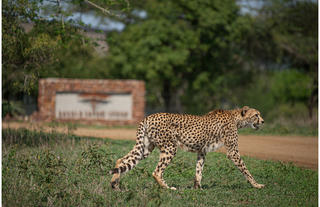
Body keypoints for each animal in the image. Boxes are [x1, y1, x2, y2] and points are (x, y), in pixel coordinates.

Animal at [110, 106, 264, 190]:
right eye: (256, 115)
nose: (263, 121)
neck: (236, 118)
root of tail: (149, 116)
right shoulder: (233, 152)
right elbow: (245, 170)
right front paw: (256, 185)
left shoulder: (202, 151)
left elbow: (198, 170)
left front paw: (197, 188)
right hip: (170, 147)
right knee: (156, 172)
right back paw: (168, 188)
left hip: (146, 148)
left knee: (121, 160)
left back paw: (115, 185)